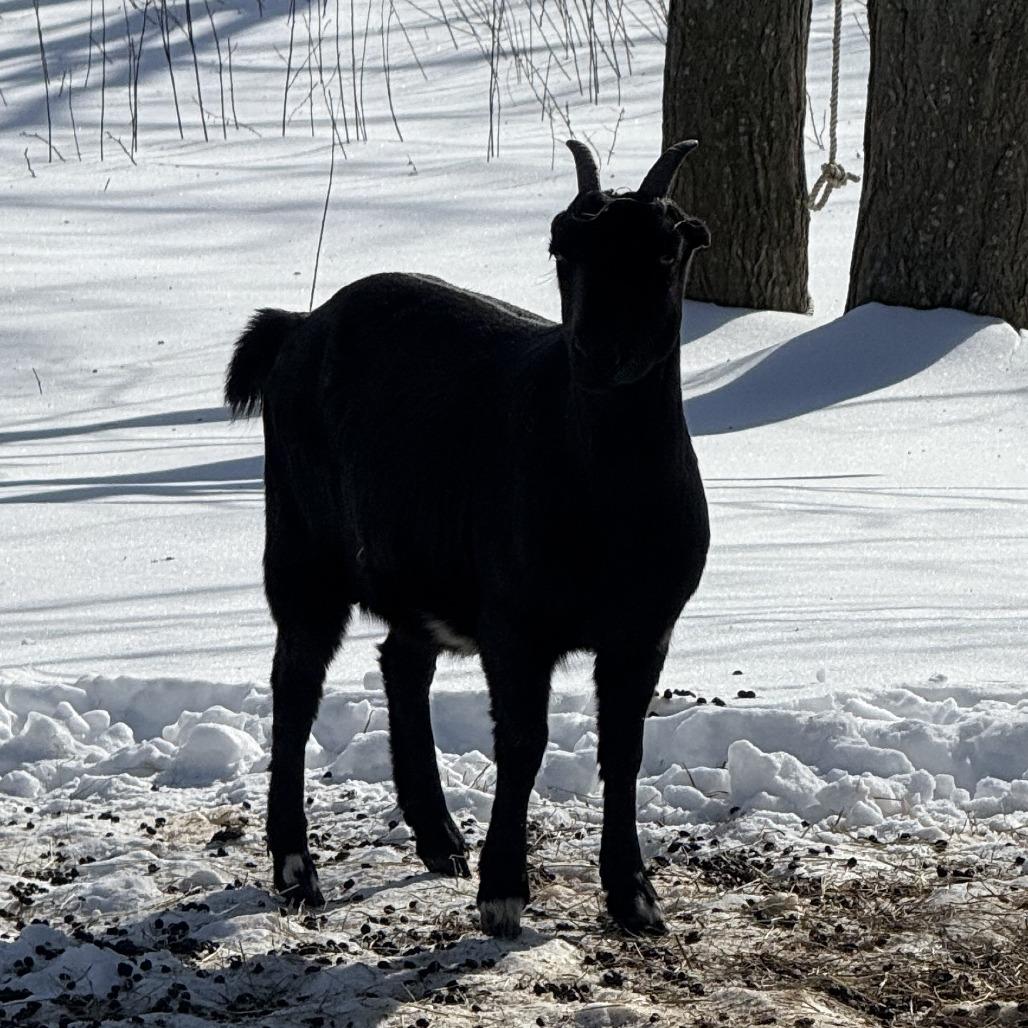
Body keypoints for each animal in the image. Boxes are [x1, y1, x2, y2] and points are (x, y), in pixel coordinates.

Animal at [225, 140, 710, 938]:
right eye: (561, 245)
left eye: (667, 246)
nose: (597, 350)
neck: (608, 497)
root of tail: (296, 329)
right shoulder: (515, 620)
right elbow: (522, 742)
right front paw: (504, 891)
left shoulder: (646, 626)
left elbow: (624, 749)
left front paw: (634, 895)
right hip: (301, 550)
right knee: (295, 688)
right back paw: (298, 870)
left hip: (411, 569)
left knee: (401, 662)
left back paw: (439, 836)